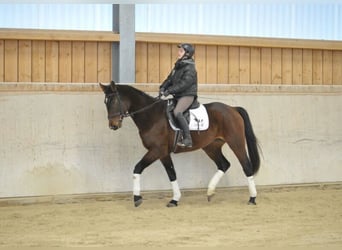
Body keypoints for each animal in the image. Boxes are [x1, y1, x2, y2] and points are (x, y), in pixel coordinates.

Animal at [100, 81, 260, 207]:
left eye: (114, 101)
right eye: (106, 102)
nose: (113, 125)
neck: (151, 116)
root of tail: (232, 109)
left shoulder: (156, 150)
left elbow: (137, 168)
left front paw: (137, 198)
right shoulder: (163, 153)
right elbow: (172, 173)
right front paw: (175, 200)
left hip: (236, 142)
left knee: (246, 166)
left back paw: (252, 198)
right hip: (211, 147)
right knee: (224, 164)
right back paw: (210, 192)